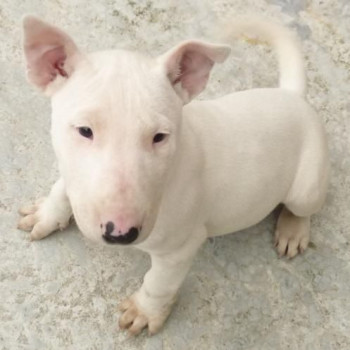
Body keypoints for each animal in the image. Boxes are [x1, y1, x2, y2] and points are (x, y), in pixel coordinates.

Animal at [17, 15, 330, 334]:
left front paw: (144, 311)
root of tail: (292, 96)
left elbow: (160, 282)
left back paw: (293, 230)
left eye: (159, 137)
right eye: (84, 130)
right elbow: (62, 187)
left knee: (305, 207)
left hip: (307, 184)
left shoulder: (181, 245)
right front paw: (46, 214)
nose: (121, 234)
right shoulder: (73, 172)